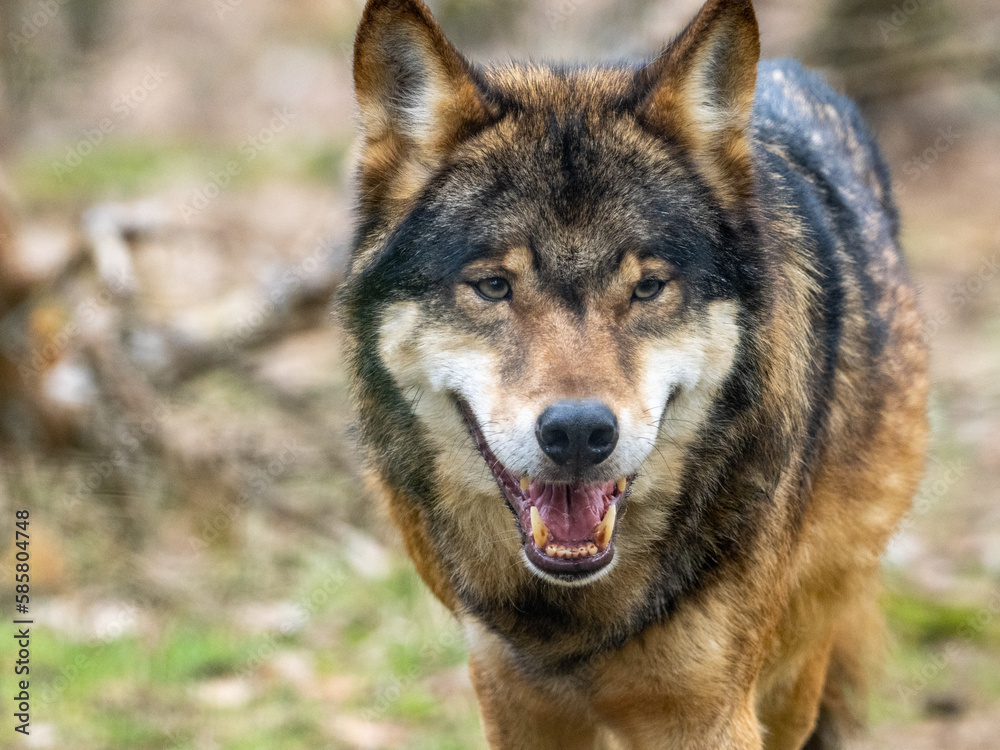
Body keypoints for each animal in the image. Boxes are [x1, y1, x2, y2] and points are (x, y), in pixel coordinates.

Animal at [341, 0, 929, 747]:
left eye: (648, 288)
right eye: (494, 286)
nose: (578, 432)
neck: (577, 614)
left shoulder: (711, 714)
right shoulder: (511, 696)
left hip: (798, 668)